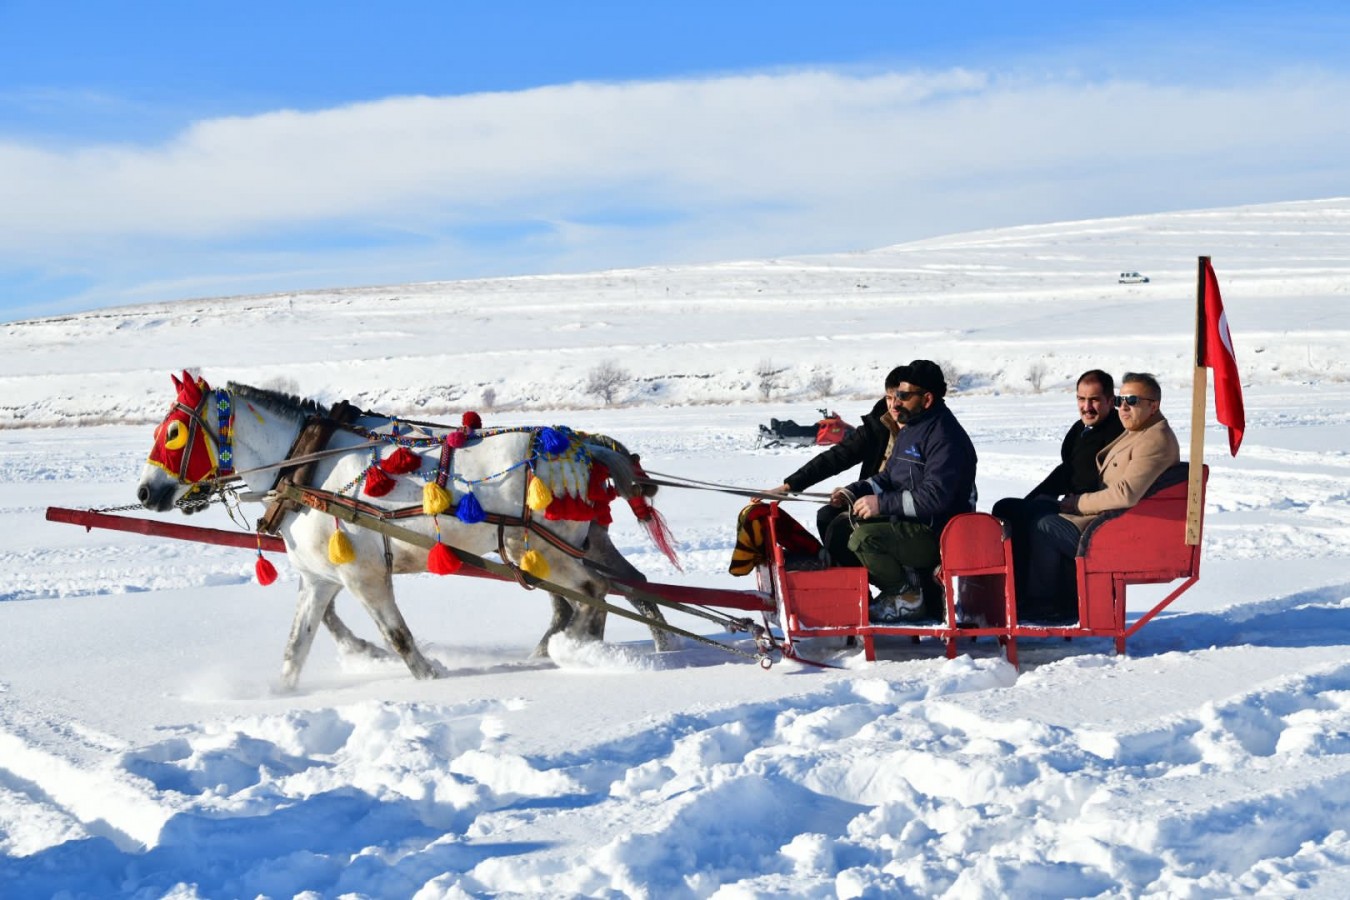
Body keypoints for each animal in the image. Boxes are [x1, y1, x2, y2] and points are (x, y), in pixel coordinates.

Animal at [137, 372, 675, 690]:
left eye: (173, 432)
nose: (144, 492)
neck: (306, 463)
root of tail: (583, 445)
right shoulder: (319, 579)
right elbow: (296, 645)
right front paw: (277, 695)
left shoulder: (364, 573)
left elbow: (396, 635)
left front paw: (429, 675)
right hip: (565, 546)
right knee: (621, 587)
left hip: (551, 550)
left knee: (594, 593)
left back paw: (582, 650)